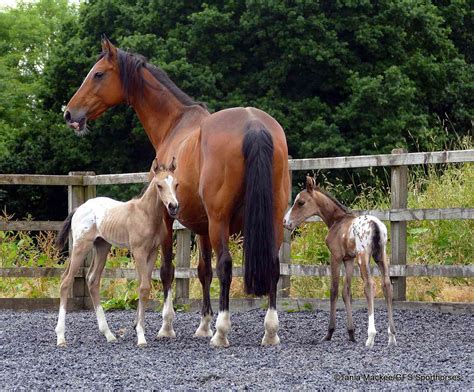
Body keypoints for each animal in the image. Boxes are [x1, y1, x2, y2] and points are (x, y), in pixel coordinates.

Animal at [54, 158, 180, 348]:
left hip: (102, 246)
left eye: (176, 184)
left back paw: (109, 334)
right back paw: (61, 337)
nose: (173, 206)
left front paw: (139, 329)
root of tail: (78, 209)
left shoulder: (152, 253)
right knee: (66, 281)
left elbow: (144, 286)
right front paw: (141, 337)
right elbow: (144, 287)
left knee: (92, 280)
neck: (145, 214)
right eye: (159, 185)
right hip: (81, 246)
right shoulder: (139, 251)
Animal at [284, 176, 398, 348]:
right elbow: (346, 291)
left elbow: (334, 290)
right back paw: (391, 336)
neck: (336, 221)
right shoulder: (348, 259)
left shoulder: (336, 257)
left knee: (369, 285)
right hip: (381, 257)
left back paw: (371, 336)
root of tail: (376, 226)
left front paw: (329, 333)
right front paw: (351, 333)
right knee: (386, 286)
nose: (286, 222)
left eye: (301, 202)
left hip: (363, 257)